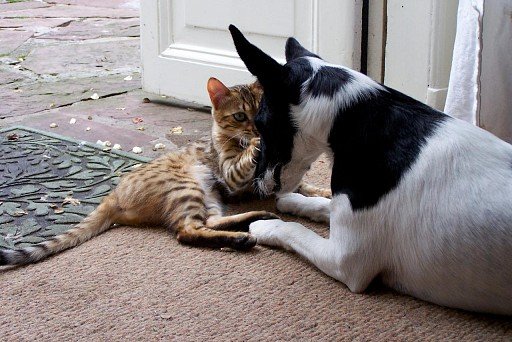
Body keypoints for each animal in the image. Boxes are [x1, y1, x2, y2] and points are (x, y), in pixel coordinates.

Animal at [0, 78, 328, 268]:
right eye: (239, 117)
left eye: (265, 114)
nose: (259, 131)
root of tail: (113, 194)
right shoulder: (232, 174)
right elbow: (247, 163)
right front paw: (256, 146)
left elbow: (306, 187)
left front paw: (320, 193)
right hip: (187, 187)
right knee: (187, 232)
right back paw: (241, 237)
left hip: (209, 195)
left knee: (209, 222)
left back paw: (255, 220)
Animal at [230, 25, 512, 314]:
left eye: (260, 124)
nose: (256, 183)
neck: (352, 121)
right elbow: (323, 205)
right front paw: (295, 201)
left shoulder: (345, 261)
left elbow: (294, 229)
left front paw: (266, 225)